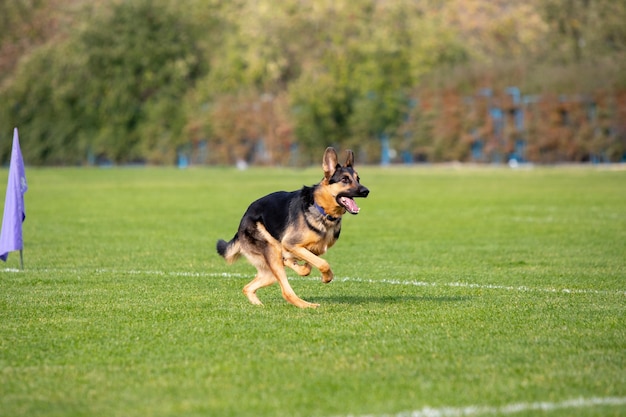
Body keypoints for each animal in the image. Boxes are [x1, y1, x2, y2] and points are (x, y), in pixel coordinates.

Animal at [217, 148, 368, 308]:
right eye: (345, 179)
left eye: (358, 179)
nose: (366, 191)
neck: (321, 209)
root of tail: (243, 219)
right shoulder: (290, 243)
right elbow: (323, 263)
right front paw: (326, 277)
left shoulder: (314, 249)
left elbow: (309, 266)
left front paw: (297, 265)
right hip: (273, 254)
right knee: (286, 292)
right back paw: (307, 305)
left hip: (269, 272)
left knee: (248, 287)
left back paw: (259, 303)